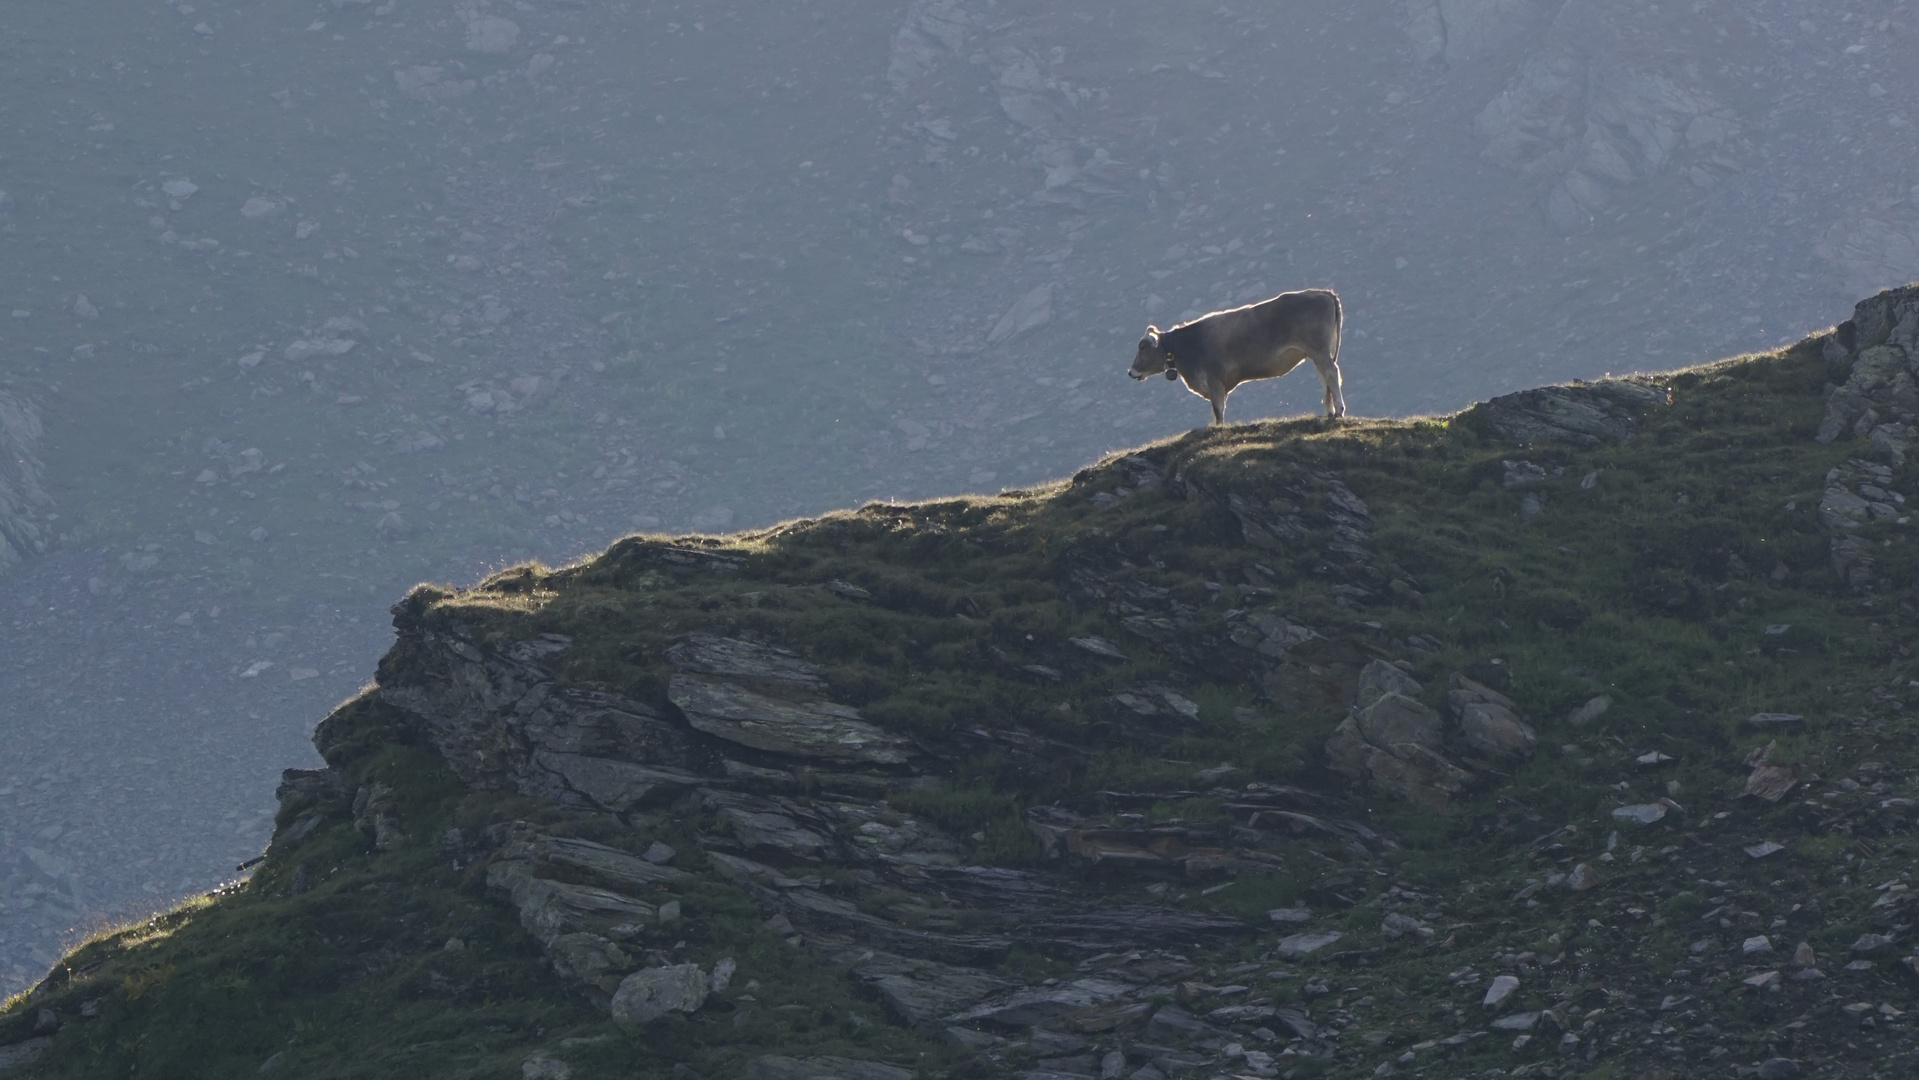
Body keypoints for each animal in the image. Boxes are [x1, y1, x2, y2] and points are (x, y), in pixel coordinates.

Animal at [1120, 289, 1350, 423]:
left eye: (1142, 346)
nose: (1131, 372)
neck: (1189, 346)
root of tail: (1322, 292)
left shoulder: (1214, 379)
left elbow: (1217, 409)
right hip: (1319, 352)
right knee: (1324, 377)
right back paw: (1329, 411)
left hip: (1319, 349)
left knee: (1331, 373)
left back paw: (1339, 410)